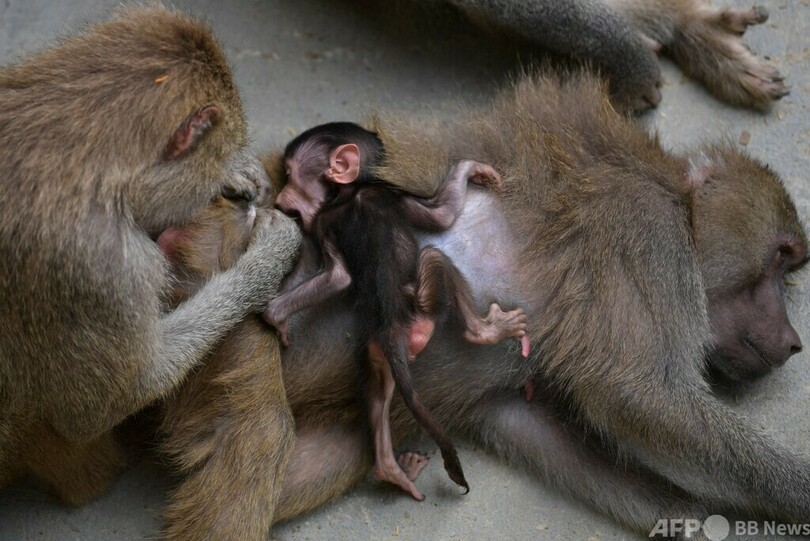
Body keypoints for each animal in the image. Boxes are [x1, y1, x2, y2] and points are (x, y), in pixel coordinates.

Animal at [265, 122, 529, 500]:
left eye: (289, 175)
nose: (279, 198)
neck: (350, 193)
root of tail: (392, 328)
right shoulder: (386, 196)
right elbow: (439, 217)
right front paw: (471, 168)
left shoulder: (337, 216)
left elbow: (339, 275)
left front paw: (276, 315)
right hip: (421, 311)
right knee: (434, 259)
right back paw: (484, 331)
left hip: (383, 343)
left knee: (379, 392)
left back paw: (390, 469)